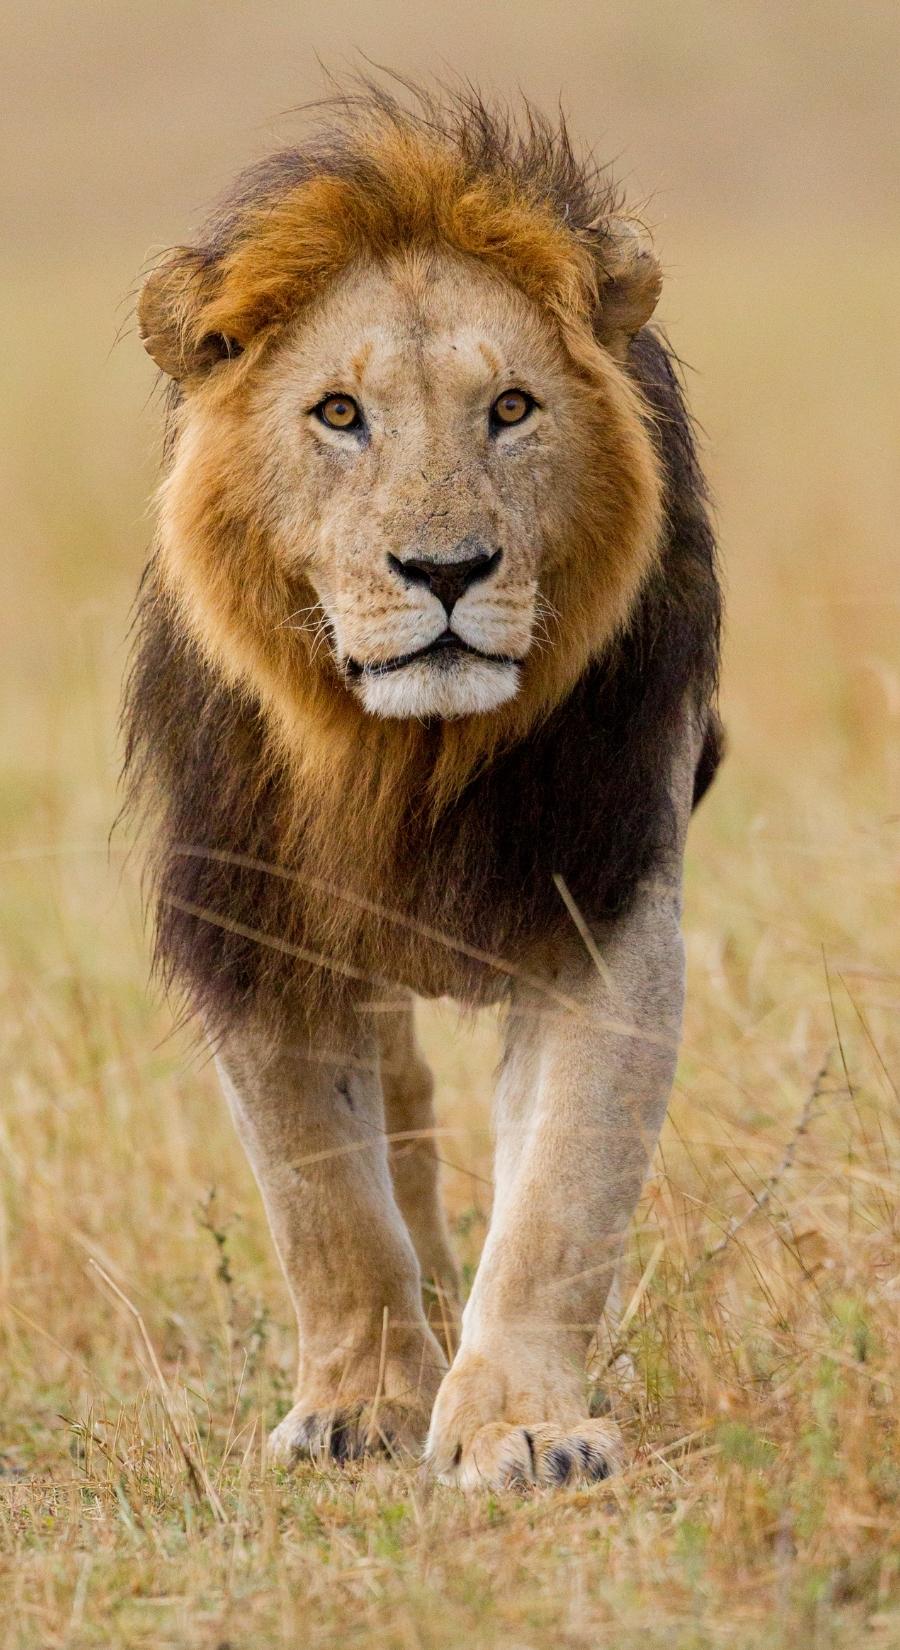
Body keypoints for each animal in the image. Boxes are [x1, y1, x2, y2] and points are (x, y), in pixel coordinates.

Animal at [124, 84, 722, 1490]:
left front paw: (522, 1425)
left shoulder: (604, 908)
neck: (402, 757)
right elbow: (324, 1202)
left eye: (510, 408)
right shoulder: (253, 926)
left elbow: (559, 1197)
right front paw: (359, 1406)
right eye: (340, 414)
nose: (445, 570)